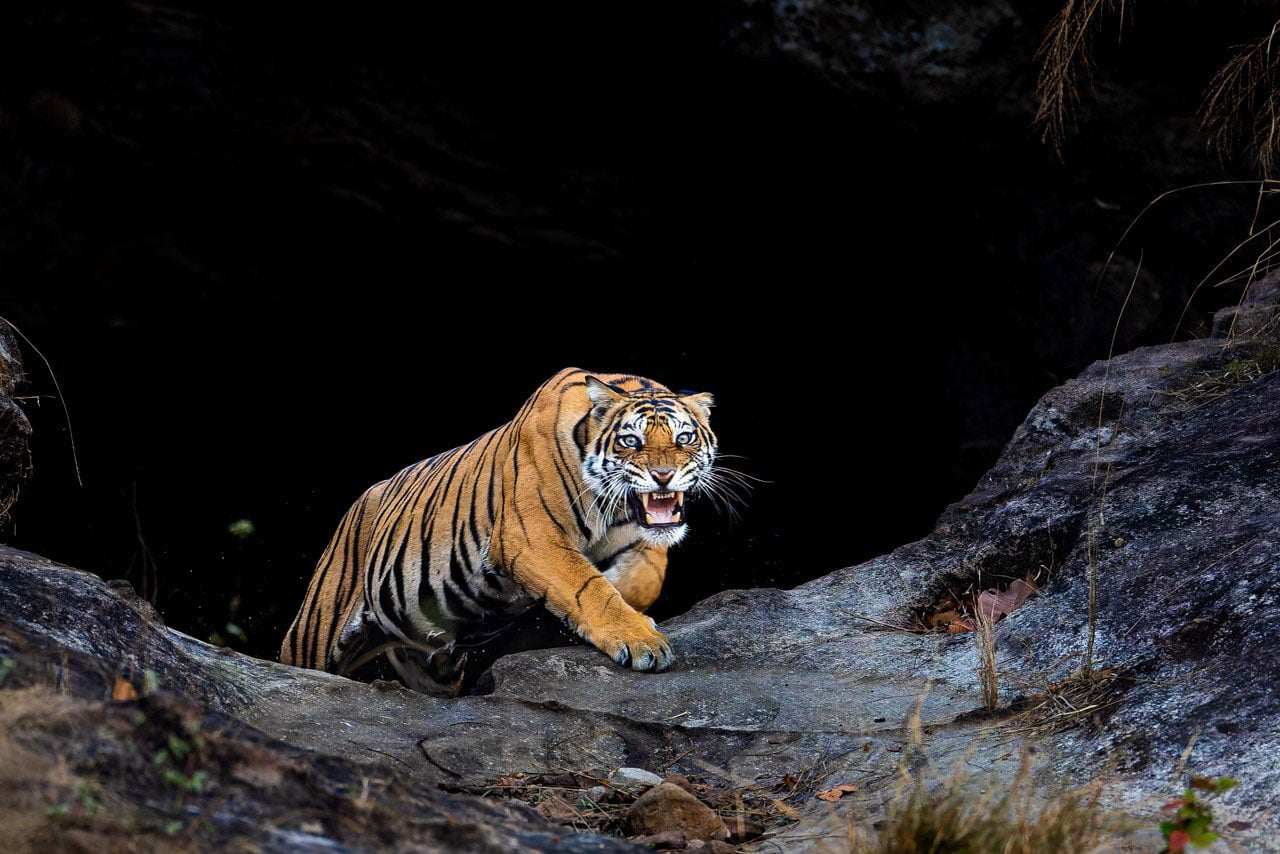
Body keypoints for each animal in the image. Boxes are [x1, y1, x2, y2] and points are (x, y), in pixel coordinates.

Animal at [279, 367, 722, 696]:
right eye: (631, 441)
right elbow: (586, 587)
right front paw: (640, 640)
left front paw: (627, 603)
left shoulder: (640, 537)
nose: (663, 476)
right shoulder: (533, 538)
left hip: (434, 665)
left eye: (684, 437)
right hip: (315, 631)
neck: (612, 510)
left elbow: (645, 575)